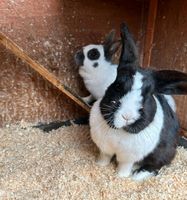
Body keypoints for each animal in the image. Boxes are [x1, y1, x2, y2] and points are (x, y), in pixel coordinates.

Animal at [88, 23, 187, 181]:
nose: (127, 116)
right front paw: (99, 165)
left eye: (147, 95)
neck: (120, 131)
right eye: (118, 85)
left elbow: (124, 168)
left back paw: (137, 175)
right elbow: (104, 158)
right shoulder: (105, 149)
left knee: (156, 165)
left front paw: (121, 177)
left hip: (163, 152)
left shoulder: (128, 158)